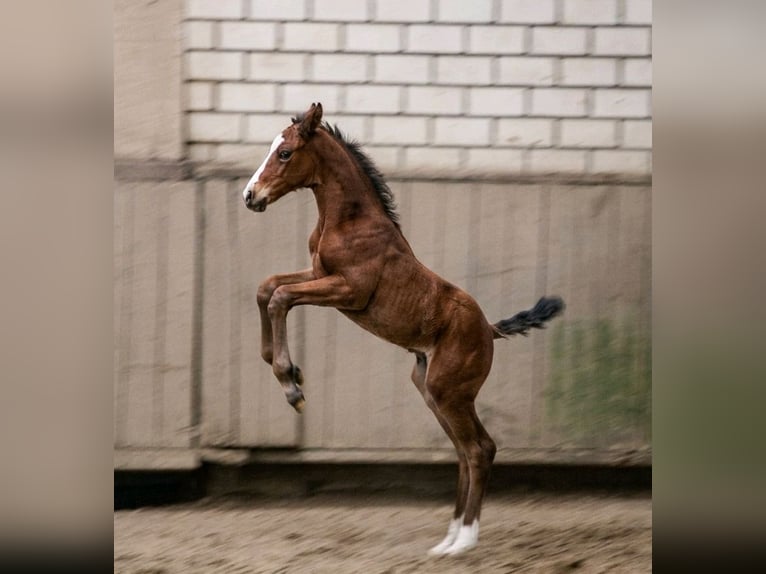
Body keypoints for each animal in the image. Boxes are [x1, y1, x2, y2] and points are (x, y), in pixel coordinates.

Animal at [242, 103, 564, 556]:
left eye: (285, 153)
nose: (250, 196)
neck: (347, 222)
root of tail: (489, 330)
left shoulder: (348, 291)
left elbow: (281, 296)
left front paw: (292, 384)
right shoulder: (318, 274)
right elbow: (267, 286)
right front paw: (284, 368)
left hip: (449, 392)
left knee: (480, 449)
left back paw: (464, 541)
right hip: (432, 391)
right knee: (464, 450)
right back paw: (447, 539)